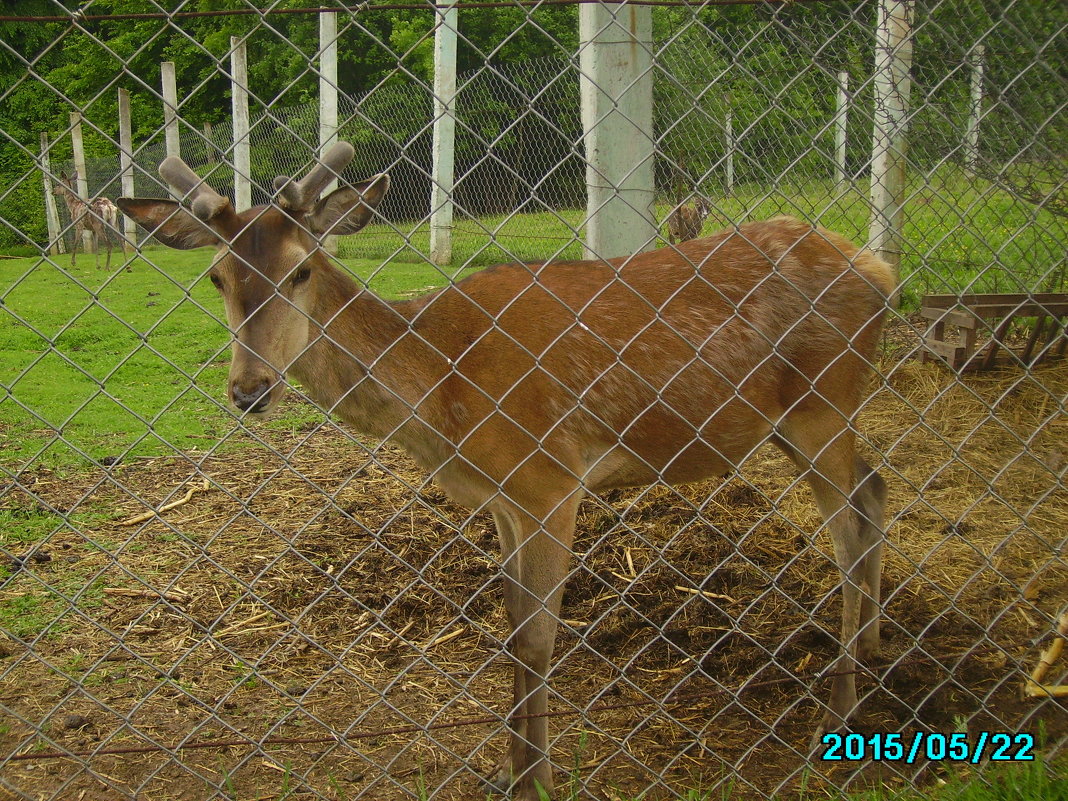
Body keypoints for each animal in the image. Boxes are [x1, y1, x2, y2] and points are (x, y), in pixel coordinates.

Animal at [119, 140, 892, 798]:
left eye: (300, 268)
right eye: (216, 276)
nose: (250, 388)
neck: (444, 394)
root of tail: (880, 272)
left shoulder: (551, 478)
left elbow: (538, 638)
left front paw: (538, 778)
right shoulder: (503, 497)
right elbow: (513, 628)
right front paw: (507, 771)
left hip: (824, 401)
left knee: (851, 528)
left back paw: (840, 715)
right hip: (803, 420)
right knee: (876, 489)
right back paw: (876, 655)